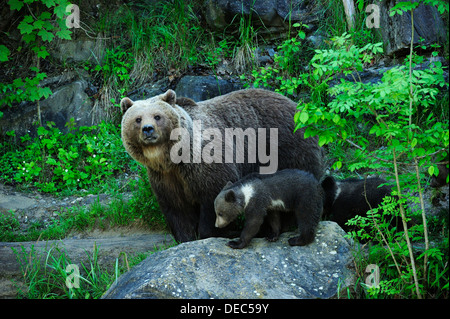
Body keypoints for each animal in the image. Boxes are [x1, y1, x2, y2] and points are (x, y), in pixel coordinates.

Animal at [119, 88, 324, 242]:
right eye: (137, 119)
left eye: (157, 116)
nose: (148, 129)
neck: (173, 158)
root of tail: (298, 107)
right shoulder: (165, 177)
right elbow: (176, 208)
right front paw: (185, 237)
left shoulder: (205, 164)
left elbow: (213, 198)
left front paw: (214, 232)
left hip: (286, 149)